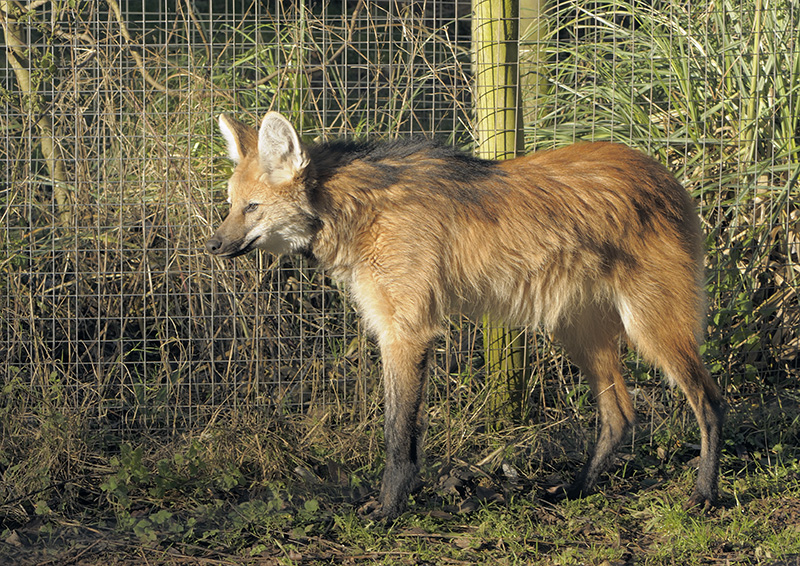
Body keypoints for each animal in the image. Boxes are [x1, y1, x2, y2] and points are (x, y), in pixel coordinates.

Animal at [206, 111, 725, 520]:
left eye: (252, 207)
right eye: (230, 206)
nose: (212, 245)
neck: (352, 210)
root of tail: (665, 173)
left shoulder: (407, 331)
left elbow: (398, 434)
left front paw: (388, 509)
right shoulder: (396, 330)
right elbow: (402, 429)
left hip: (650, 324)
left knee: (710, 401)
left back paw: (704, 494)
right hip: (577, 330)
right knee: (619, 414)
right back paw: (576, 490)